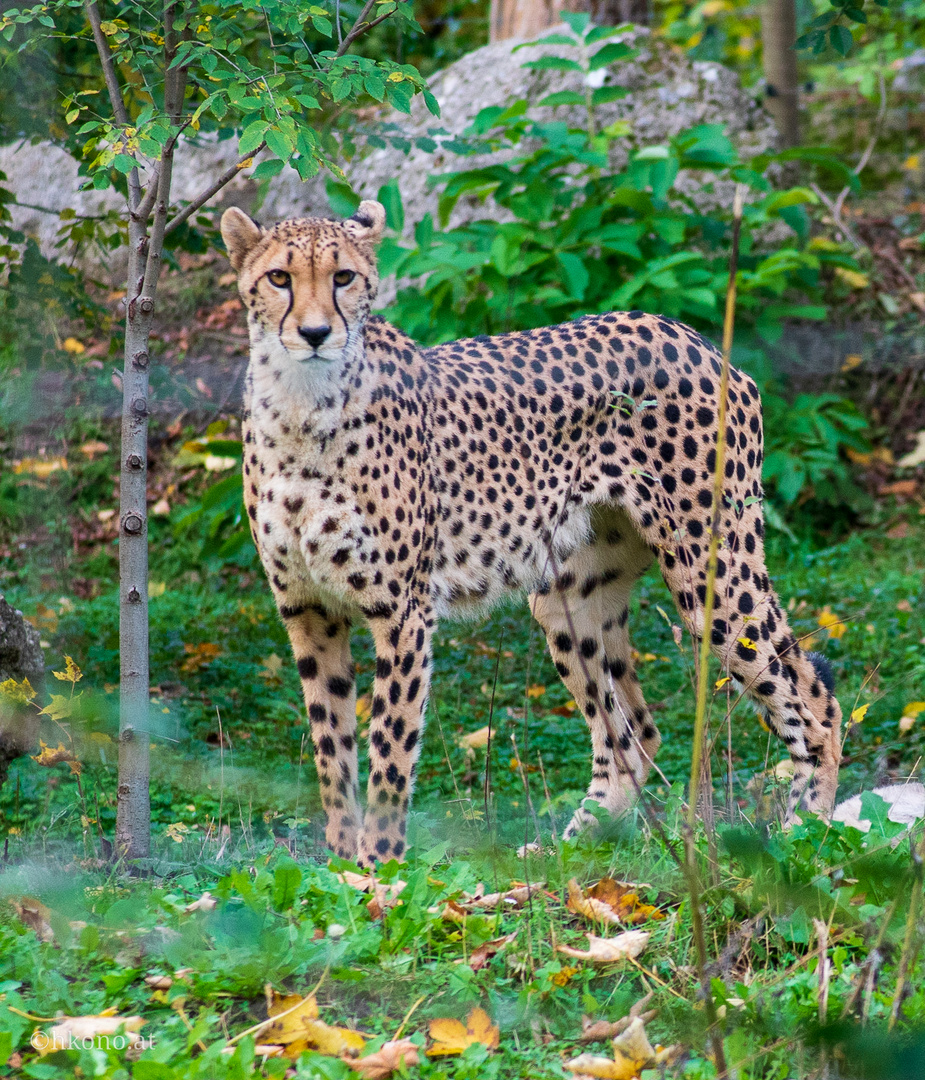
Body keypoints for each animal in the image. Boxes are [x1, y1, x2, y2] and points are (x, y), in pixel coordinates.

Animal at [220, 200, 842, 859]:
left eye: (343, 277)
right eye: (279, 279)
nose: (315, 334)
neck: (300, 407)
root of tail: (687, 334)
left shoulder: (402, 612)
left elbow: (390, 749)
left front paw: (378, 869)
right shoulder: (307, 610)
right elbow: (330, 748)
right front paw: (340, 863)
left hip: (712, 575)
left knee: (813, 699)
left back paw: (808, 835)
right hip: (568, 598)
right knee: (632, 734)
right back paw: (565, 853)